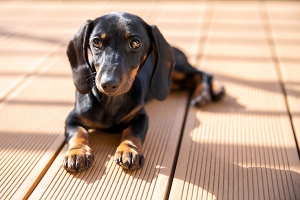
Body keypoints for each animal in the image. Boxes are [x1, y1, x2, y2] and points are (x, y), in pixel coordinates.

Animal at [62, 12, 223, 172]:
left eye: (135, 43)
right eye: (96, 42)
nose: (108, 84)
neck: (112, 102)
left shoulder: (140, 117)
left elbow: (132, 133)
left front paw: (128, 150)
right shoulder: (73, 118)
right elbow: (79, 133)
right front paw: (77, 153)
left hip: (179, 69)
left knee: (202, 73)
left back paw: (208, 92)